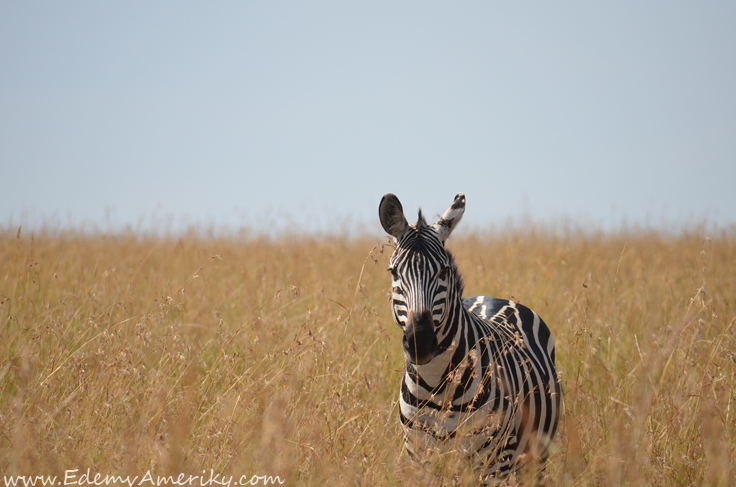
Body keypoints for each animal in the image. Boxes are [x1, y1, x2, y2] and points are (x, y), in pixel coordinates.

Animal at [380, 193, 564, 482]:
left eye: (444, 271)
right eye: (394, 272)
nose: (421, 343)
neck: (438, 385)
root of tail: (493, 297)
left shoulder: (495, 463)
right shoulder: (419, 457)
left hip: (533, 456)